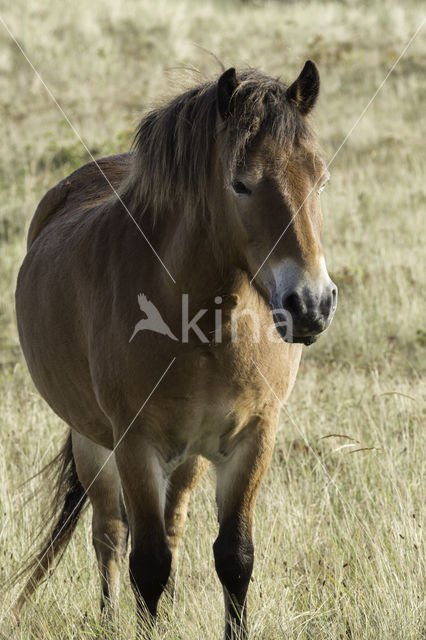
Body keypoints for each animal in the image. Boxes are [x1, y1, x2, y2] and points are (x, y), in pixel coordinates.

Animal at [15, 61, 338, 640]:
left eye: (320, 180)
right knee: (109, 534)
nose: (312, 304)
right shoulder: (135, 444)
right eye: (240, 184)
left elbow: (234, 557)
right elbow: (146, 564)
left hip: (188, 459)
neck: (204, 328)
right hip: (93, 443)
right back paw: (110, 618)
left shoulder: (253, 438)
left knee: (172, 527)